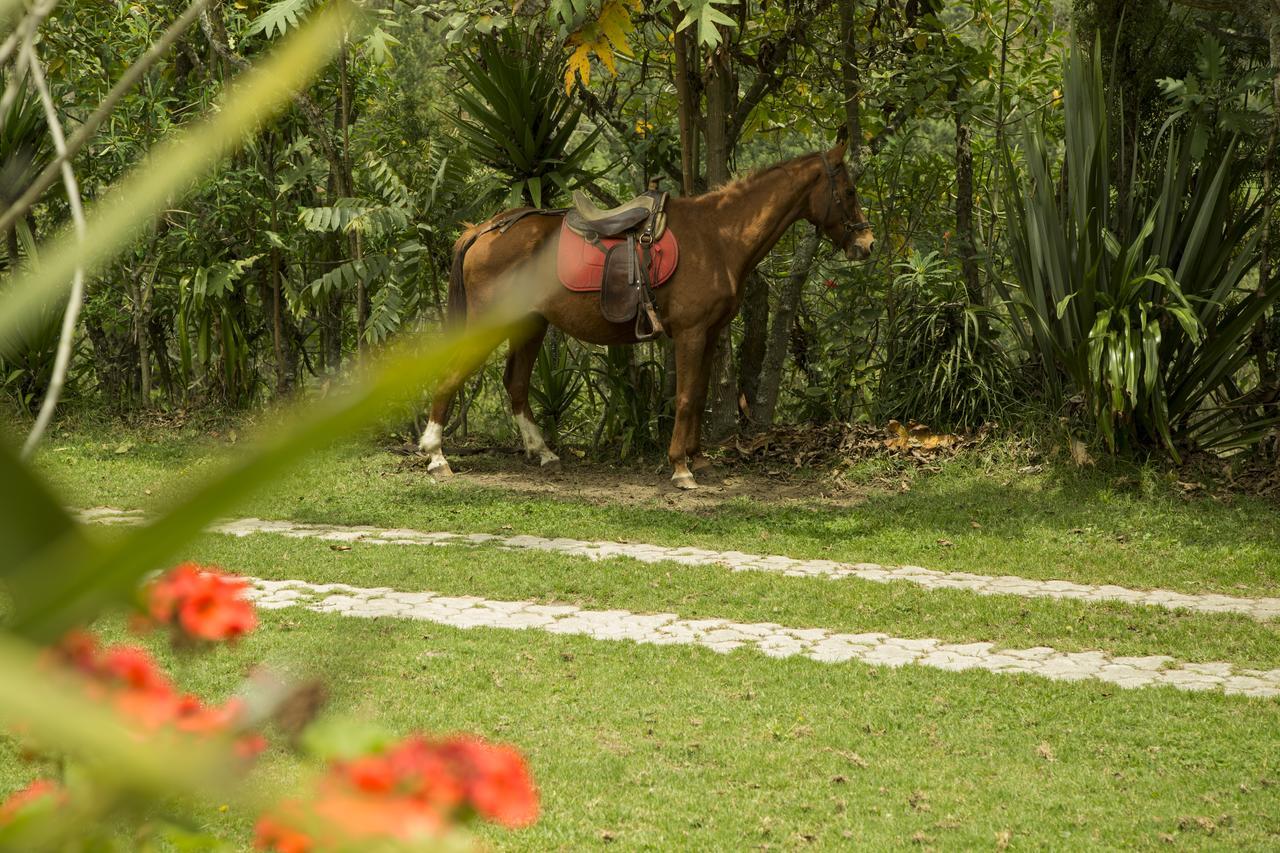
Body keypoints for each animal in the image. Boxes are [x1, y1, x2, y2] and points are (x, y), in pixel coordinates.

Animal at [424, 139, 875, 484]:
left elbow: (699, 395)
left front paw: (698, 459)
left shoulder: (709, 333)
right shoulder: (692, 332)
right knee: (450, 374)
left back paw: (544, 452)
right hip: (488, 325)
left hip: (530, 326)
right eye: (850, 191)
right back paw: (436, 455)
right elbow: (687, 398)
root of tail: (483, 229)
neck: (717, 236)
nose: (867, 244)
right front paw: (680, 468)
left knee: (515, 384)